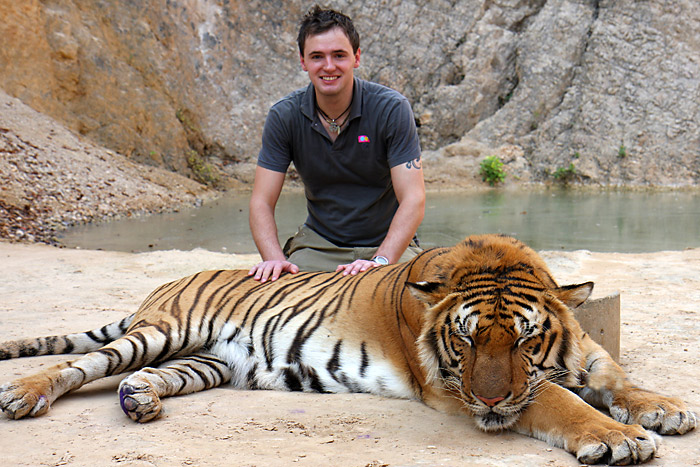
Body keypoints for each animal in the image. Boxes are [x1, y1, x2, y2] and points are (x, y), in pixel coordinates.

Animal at [0, 236, 692, 462]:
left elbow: (618, 378)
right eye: (466, 338)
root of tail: (167, 282)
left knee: (152, 376)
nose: (492, 401)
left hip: (209, 362)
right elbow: (557, 401)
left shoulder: (584, 354)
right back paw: (22, 394)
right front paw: (619, 438)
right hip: (162, 331)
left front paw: (666, 408)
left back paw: (141, 400)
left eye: (524, 337)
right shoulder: (454, 387)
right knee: (78, 364)